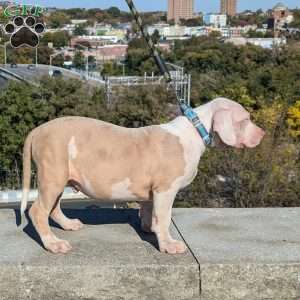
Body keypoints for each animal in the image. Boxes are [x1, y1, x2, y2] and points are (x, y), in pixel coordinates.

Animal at [21, 97, 264, 254]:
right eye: (245, 120)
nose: (262, 133)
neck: (196, 130)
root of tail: (37, 130)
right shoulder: (165, 189)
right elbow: (164, 218)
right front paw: (168, 245)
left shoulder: (151, 191)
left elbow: (149, 210)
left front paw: (148, 228)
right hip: (53, 173)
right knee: (38, 211)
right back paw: (53, 244)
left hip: (59, 177)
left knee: (53, 208)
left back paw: (68, 225)